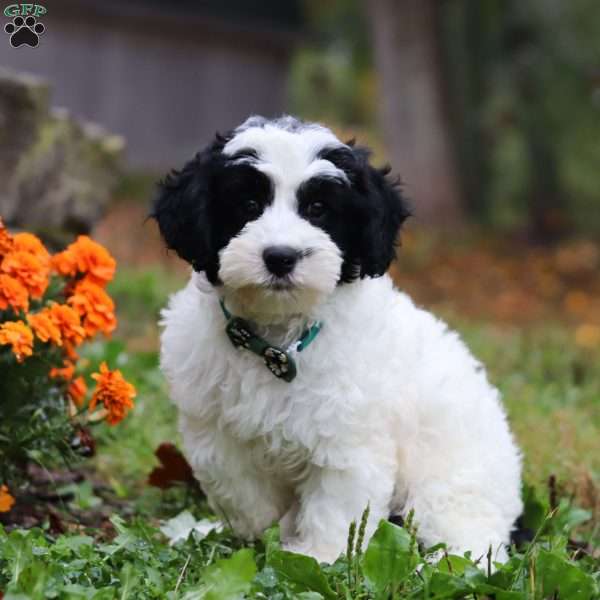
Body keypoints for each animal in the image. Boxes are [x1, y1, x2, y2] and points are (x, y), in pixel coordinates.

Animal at [152, 115, 524, 564]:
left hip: (453, 489)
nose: (280, 257)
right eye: (248, 205)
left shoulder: (350, 439)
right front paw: (261, 534)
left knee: (471, 542)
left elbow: (338, 507)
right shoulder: (214, 429)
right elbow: (241, 491)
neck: (278, 341)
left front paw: (318, 555)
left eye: (318, 209)